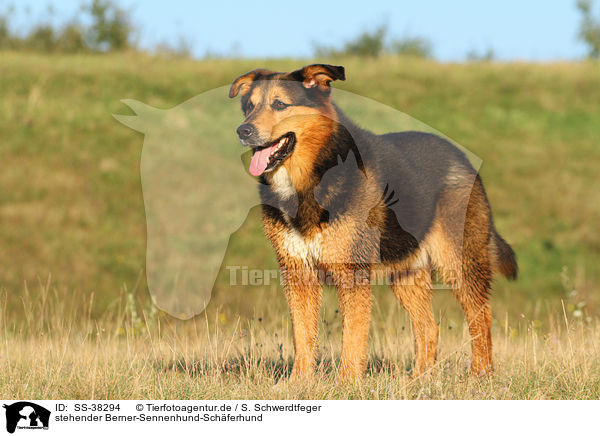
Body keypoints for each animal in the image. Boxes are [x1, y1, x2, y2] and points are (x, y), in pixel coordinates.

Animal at [229, 64, 516, 382]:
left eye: (280, 104)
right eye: (249, 107)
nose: (243, 131)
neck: (310, 177)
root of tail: (462, 160)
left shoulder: (352, 274)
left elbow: (352, 338)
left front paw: (346, 384)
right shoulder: (298, 273)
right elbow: (302, 338)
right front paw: (298, 384)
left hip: (459, 261)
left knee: (481, 317)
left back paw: (481, 375)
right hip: (407, 273)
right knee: (429, 327)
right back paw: (418, 381)